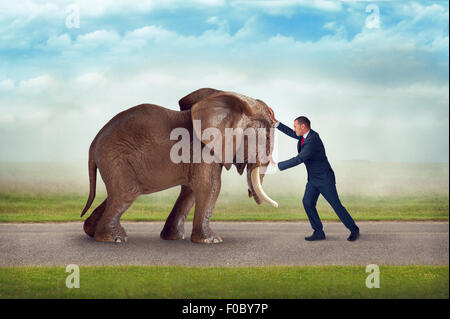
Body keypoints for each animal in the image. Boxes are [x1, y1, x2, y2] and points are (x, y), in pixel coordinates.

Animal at [81, 88, 278, 245]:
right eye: (267, 138)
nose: (250, 193)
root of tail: (93, 143)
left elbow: (190, 191)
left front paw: (174, 238)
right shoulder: (202, 152)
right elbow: (210, 187)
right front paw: (212, 241)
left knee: (117, 194)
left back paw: (93, 232)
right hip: (115, 157)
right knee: (127, 193)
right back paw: (115, 239)